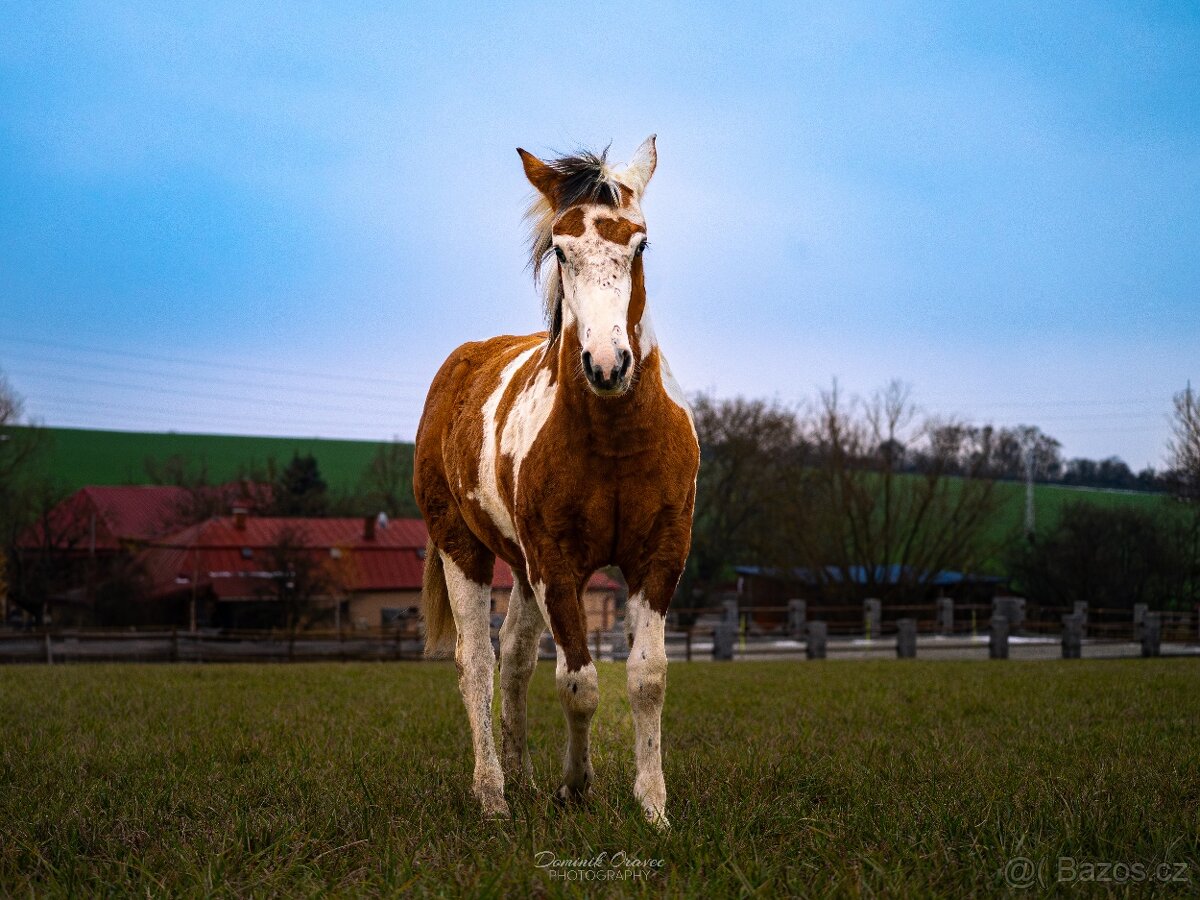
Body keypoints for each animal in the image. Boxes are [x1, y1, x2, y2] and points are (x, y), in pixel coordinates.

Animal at [413, 135, 699, 827]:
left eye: (640, 244)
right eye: (562, 250)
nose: (607, 364)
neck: (616, 438)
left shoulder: (660, 555)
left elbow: (647, 679)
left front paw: (653, 805)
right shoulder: (557, 564)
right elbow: (579, 682)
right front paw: (577, 785)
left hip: (519, 568)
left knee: (514, 657)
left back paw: (521, 777)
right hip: (466, 550)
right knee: (477, 663)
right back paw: (493, 794)